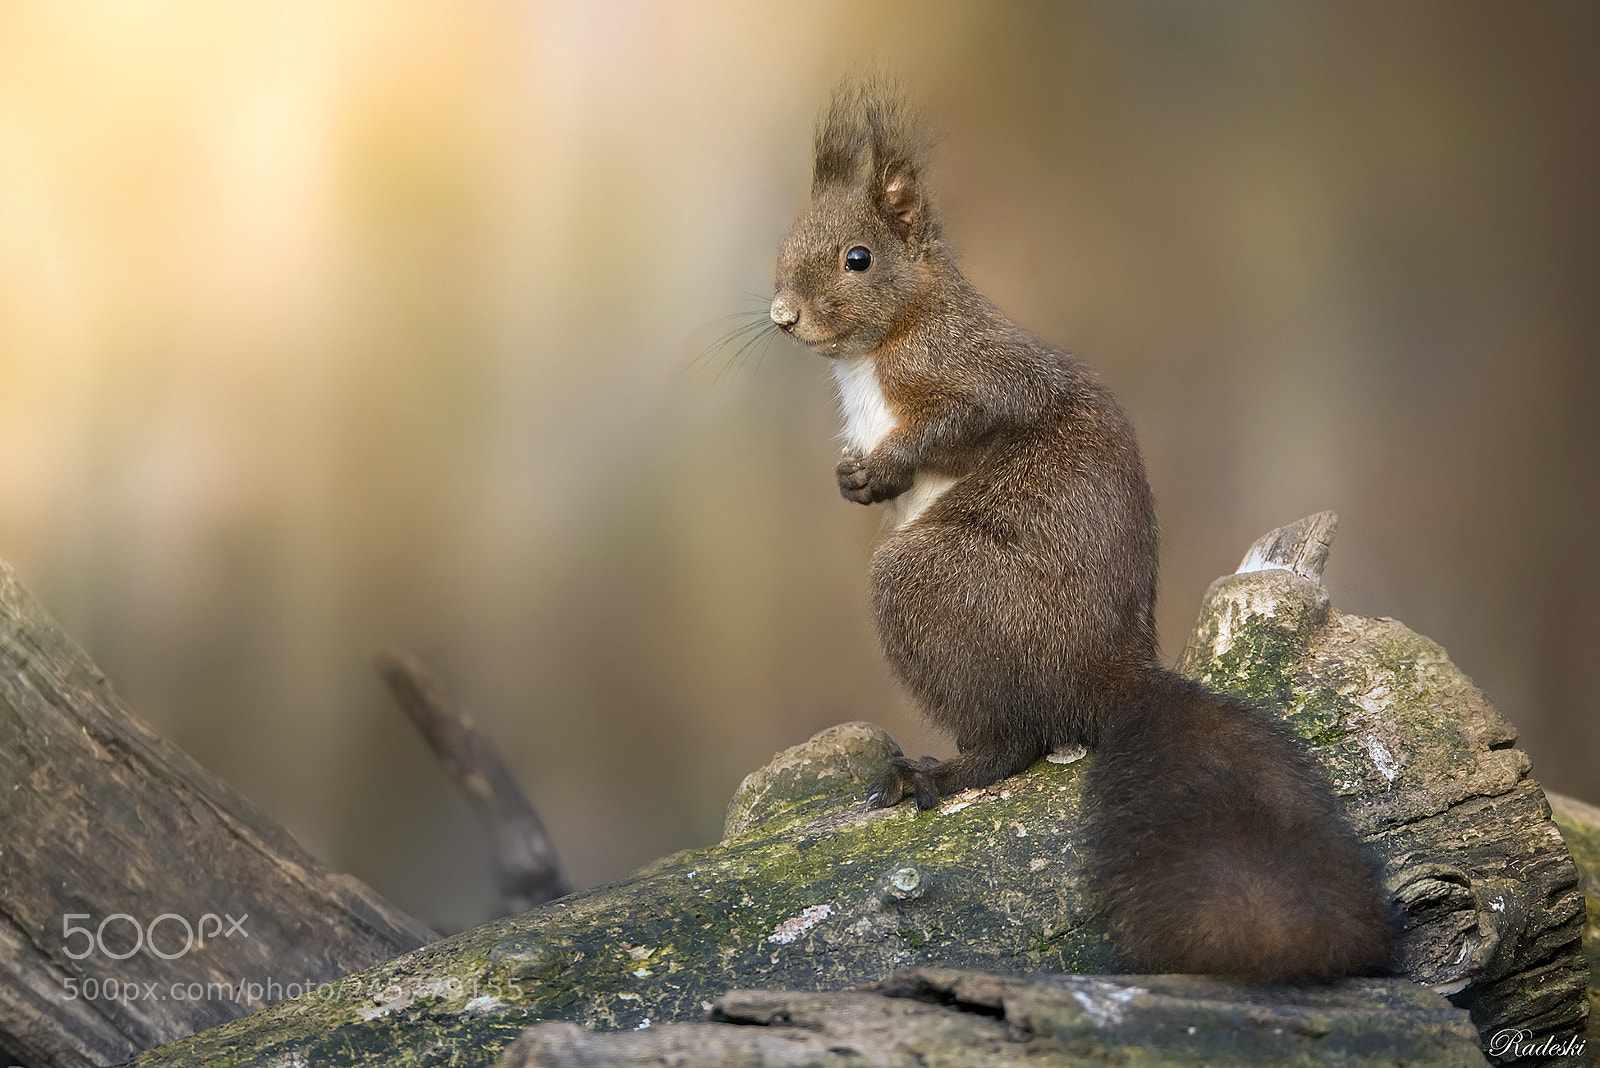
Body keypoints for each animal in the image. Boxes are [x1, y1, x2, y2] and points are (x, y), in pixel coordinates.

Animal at [768, 82, 1395, 981]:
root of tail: (1109, 677)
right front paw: (854, 478)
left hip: (937, 587)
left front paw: (883, 468)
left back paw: (940, 770)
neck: (889, 340)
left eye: (859, 258)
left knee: (1016, 741)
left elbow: (974, 415)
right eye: (786, 242)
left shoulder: (981, 373)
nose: (781, 314)